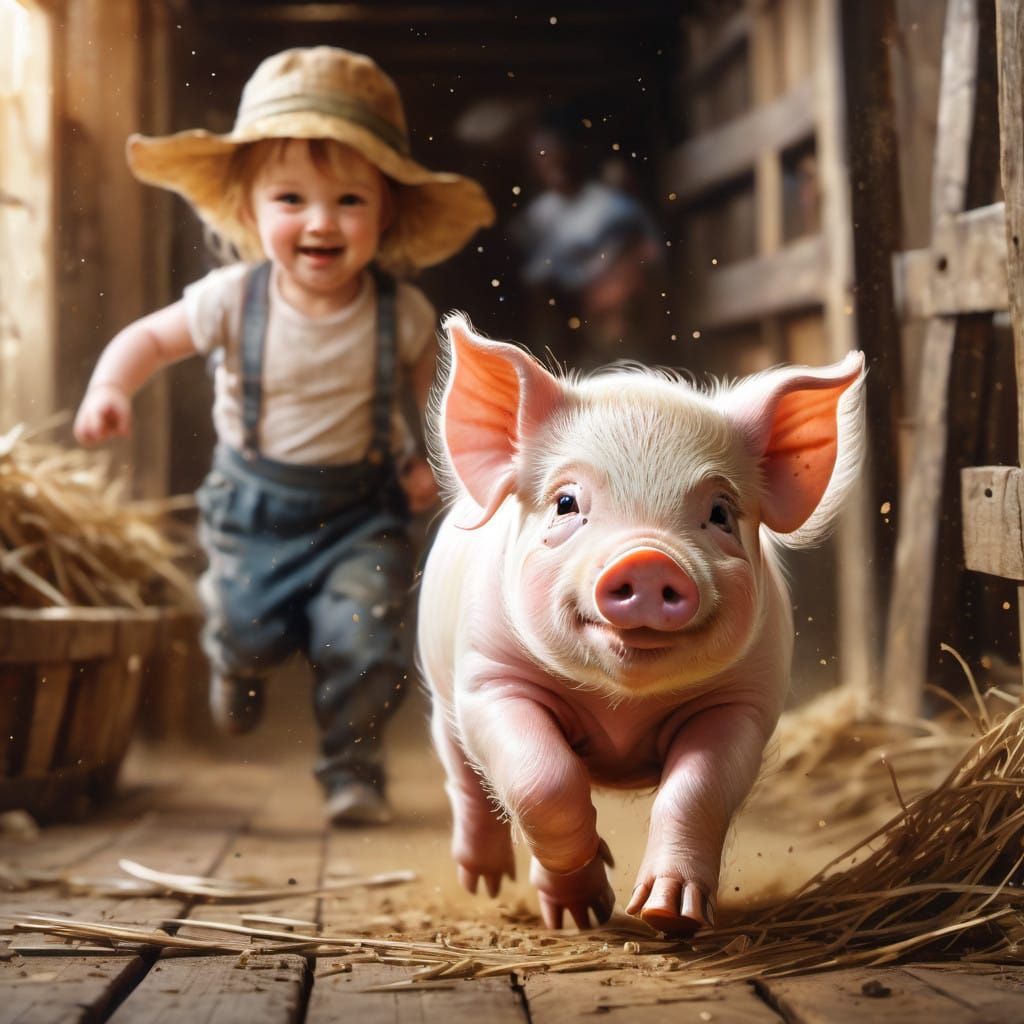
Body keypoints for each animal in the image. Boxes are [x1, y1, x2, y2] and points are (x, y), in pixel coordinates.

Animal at [416, 314, 865, 936]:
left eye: (720, 512)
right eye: (565, 503)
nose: (649, 560)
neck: (621, 713)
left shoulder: (743, 700)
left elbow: (696, 792)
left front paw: (667, 916)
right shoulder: (489, 677)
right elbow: (542, 780)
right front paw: (593, 887)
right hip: (444, 694)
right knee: (463, 774)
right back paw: (494, 885)